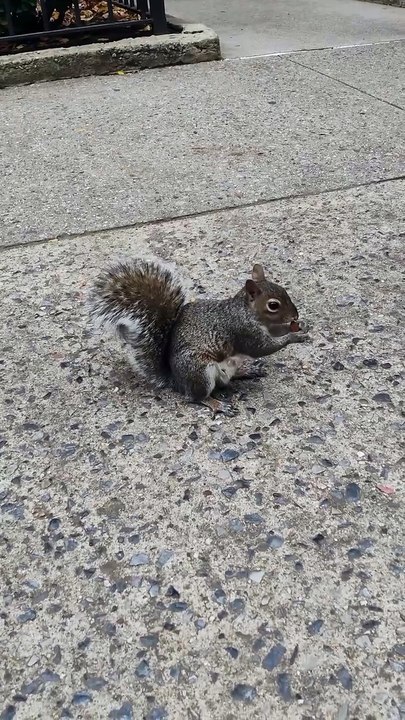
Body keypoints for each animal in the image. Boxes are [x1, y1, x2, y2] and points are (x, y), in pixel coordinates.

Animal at [90, 259, 309, 416]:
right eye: (273, 305)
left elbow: (275, 333)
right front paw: (294, 337)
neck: (246, 311)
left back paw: (247, 370)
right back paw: (217, 404)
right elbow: (262, 347)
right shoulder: (242, 331)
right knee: (196, 397)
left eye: (283, 290)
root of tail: (177, 381)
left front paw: (300, 327)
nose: (295, 315)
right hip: (199, 371)